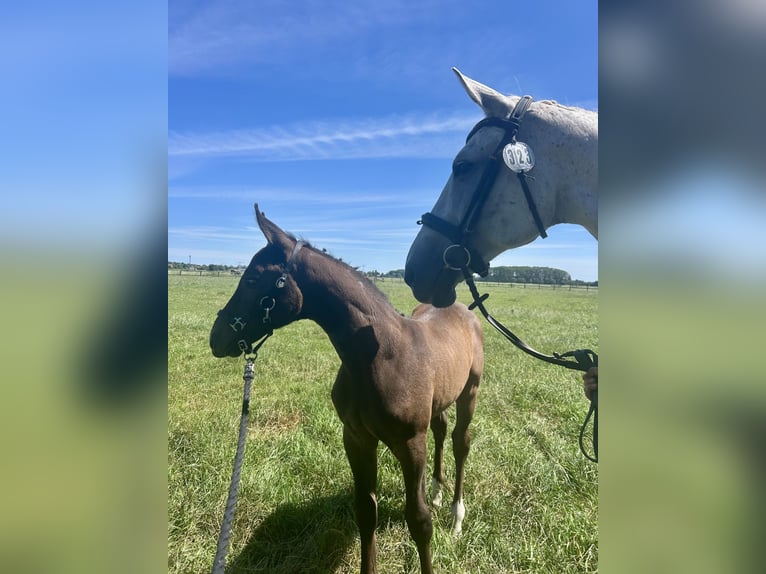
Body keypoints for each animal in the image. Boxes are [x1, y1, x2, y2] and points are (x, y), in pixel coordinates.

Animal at [209, 205, 484, 574]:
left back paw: (456, 516)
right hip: (441, 398)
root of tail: (464, 310)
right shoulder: (356, 438)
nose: (216, 337)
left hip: (470, 391)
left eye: (252, 279)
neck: (380, 356)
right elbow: (366, 512)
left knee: (460, 441)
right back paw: (439, 492)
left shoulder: (411, 444)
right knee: (441, 430)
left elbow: (419, 521)